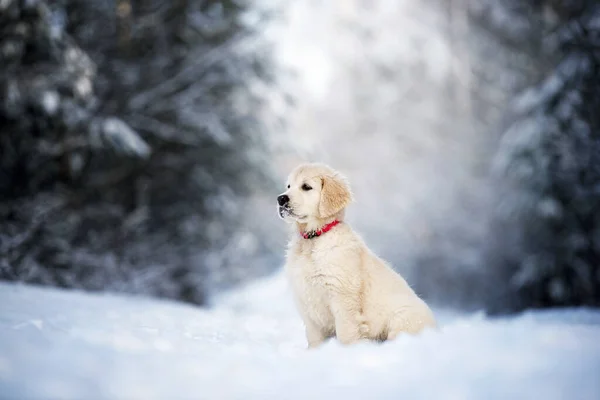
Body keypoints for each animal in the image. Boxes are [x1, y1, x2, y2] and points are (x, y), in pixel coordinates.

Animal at [276, 162, 436, 346]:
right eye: (288, 186)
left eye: (306, 187)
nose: (280, 199)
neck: (313, 239)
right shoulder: (306, 301)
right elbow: (314, 338)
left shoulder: (342, 298)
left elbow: (346, 333)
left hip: (402, 319)